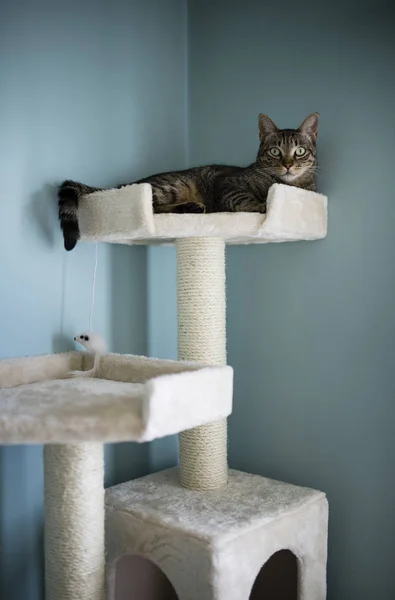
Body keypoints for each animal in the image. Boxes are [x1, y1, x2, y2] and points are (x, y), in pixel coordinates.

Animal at [58, 113, 318, 251]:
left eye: (300, 151)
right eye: (275, 151)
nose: (288, 164)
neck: (287, 184)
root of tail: (129, 183)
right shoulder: (228, 186)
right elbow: (246, 199)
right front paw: (263, 205)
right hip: (171, 187)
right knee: (154, 207)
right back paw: (189, 207)